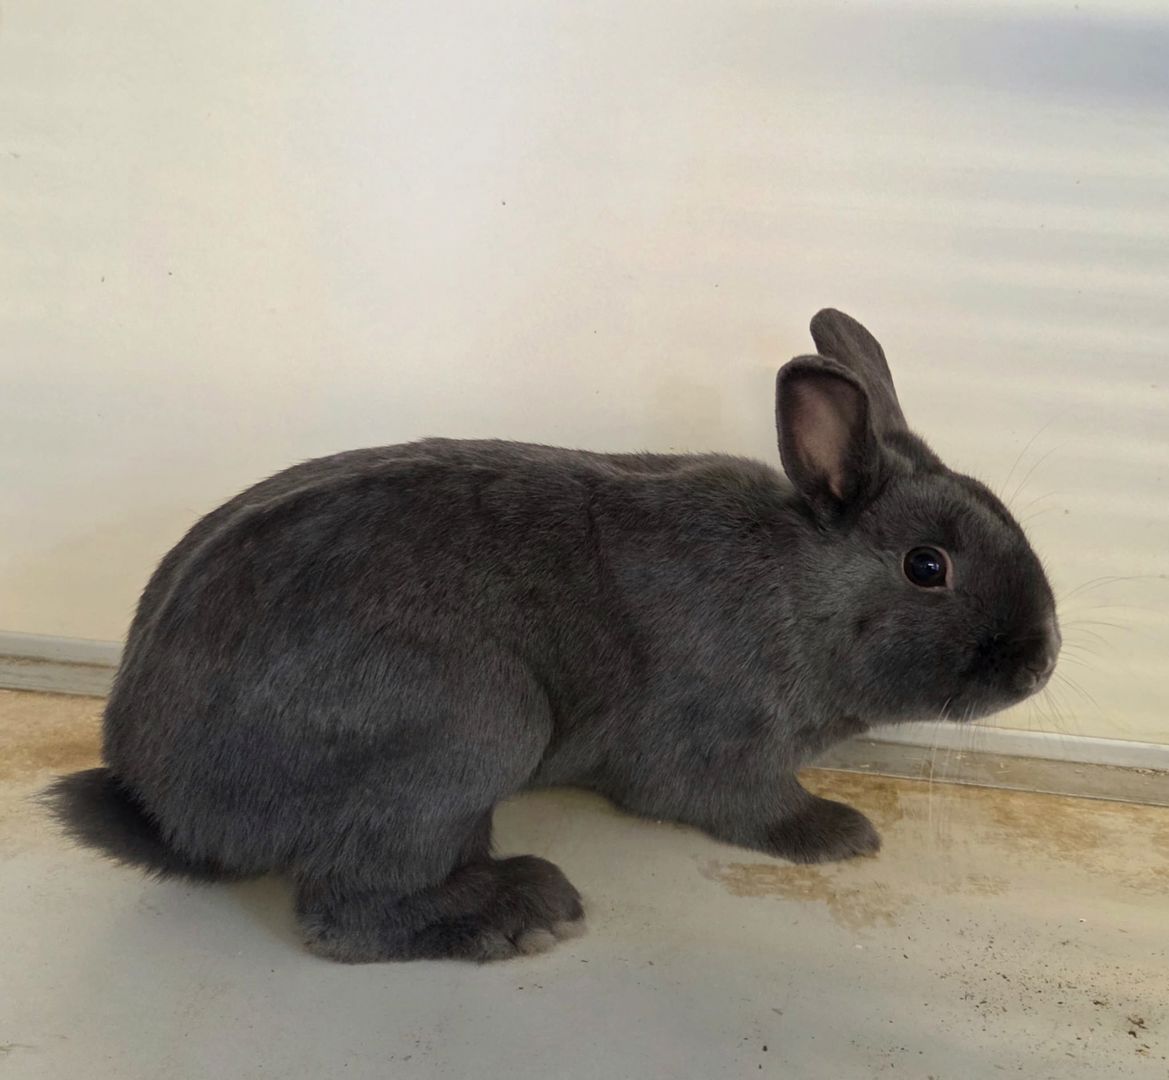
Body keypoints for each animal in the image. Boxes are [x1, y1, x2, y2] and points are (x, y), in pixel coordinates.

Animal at [45, 309, 1060, 963]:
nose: (1039, 660)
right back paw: (519, 911)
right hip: (478, 724)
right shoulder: (720, 746)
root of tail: (164, 804)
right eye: (926, 566)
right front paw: (841, 833)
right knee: (344, 912)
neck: (798, 584)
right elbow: (751, 804)